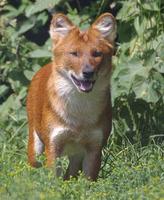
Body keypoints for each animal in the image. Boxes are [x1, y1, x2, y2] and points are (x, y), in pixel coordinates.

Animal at [26, 12, 116, 181]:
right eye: (74, 53)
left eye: (97, 54)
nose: (88, 72)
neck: (80, 109)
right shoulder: (53, 145)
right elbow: (53, 180)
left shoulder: (95, 147)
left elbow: (88, 181)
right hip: (35, 147)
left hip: (77, 155)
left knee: (70, 174)